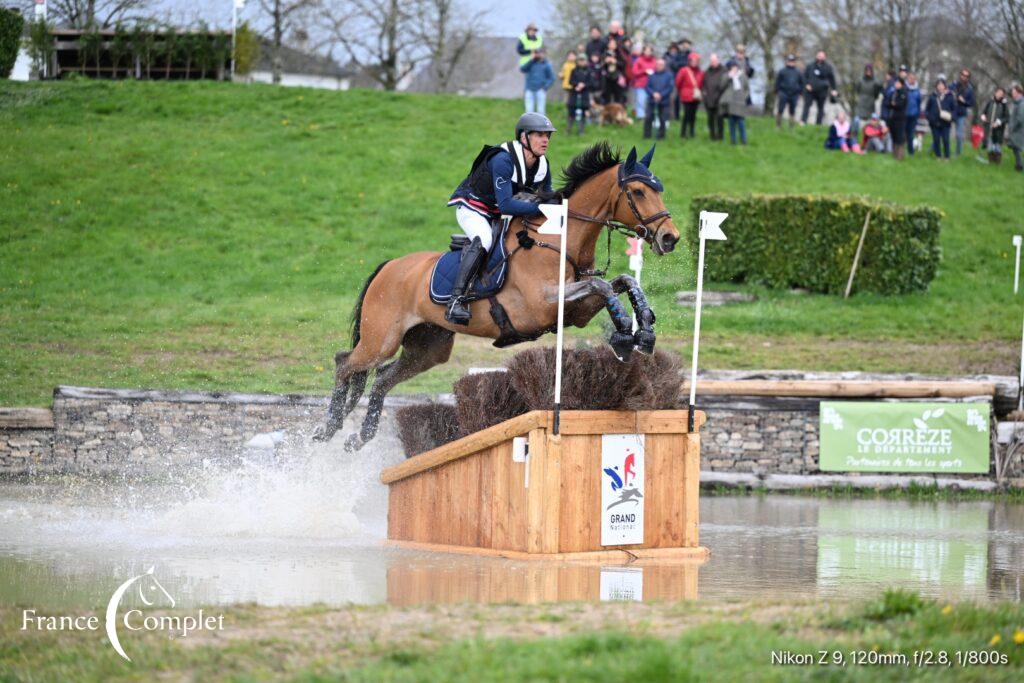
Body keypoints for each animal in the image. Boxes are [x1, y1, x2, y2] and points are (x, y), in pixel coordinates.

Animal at [311, 143, 679, 454]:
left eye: (660, 189)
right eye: (638, 191)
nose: (670, 237)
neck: (558, 240)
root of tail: (388, 267)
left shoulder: (577, 311)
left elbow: (621, 281)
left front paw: (643, 330)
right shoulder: (543, 304)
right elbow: (603, 286)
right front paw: (625, 333)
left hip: (428, 348)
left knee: (383, 377)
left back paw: (361, 436)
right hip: (382, 338)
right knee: (345, 362)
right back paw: (327, 429)